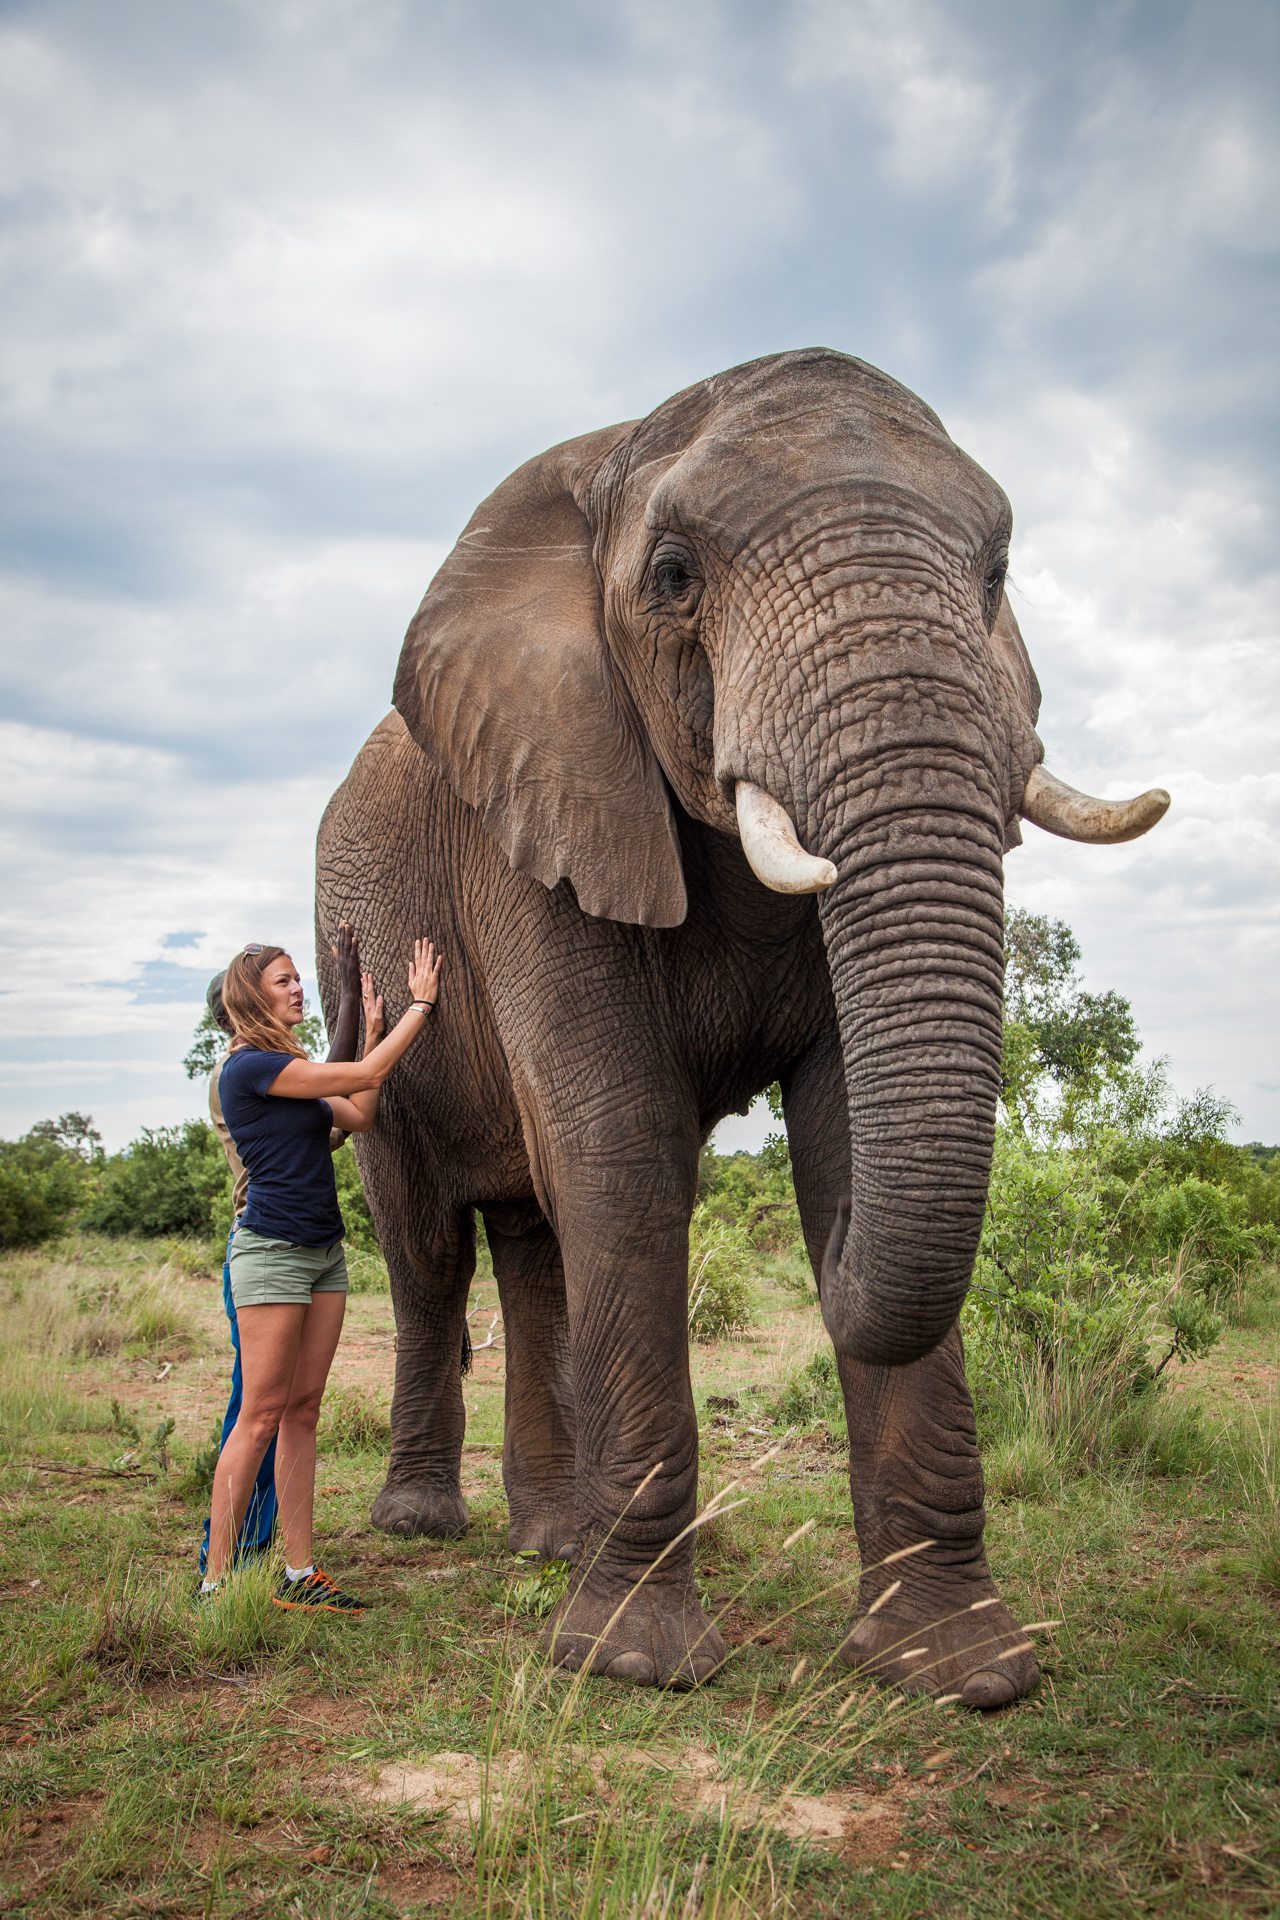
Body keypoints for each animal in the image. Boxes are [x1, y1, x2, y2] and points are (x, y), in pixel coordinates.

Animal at [316, 348, 1168, 1707]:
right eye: (673, 579)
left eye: (994, 577)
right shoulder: (541, 805)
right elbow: (621, 1157)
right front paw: (634, 1666)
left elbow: (838, 1143)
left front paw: (956, 1674)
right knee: (427, 1245)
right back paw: (423, 1528)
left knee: (531, 1242)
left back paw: (547, 1542)